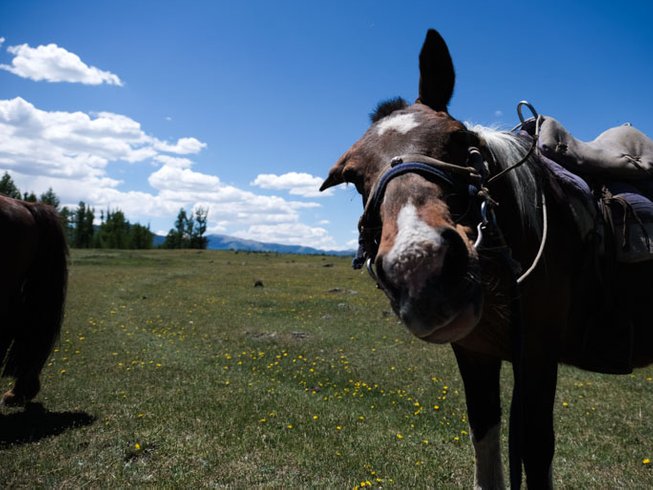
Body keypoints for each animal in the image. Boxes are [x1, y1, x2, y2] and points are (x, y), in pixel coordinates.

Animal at [320, 28, 652, 488]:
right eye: (354, 177)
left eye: (460, 139)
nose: (420, 267)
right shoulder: (474, 352)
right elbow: (485, 436)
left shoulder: (538, 353)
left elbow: (535, 448)